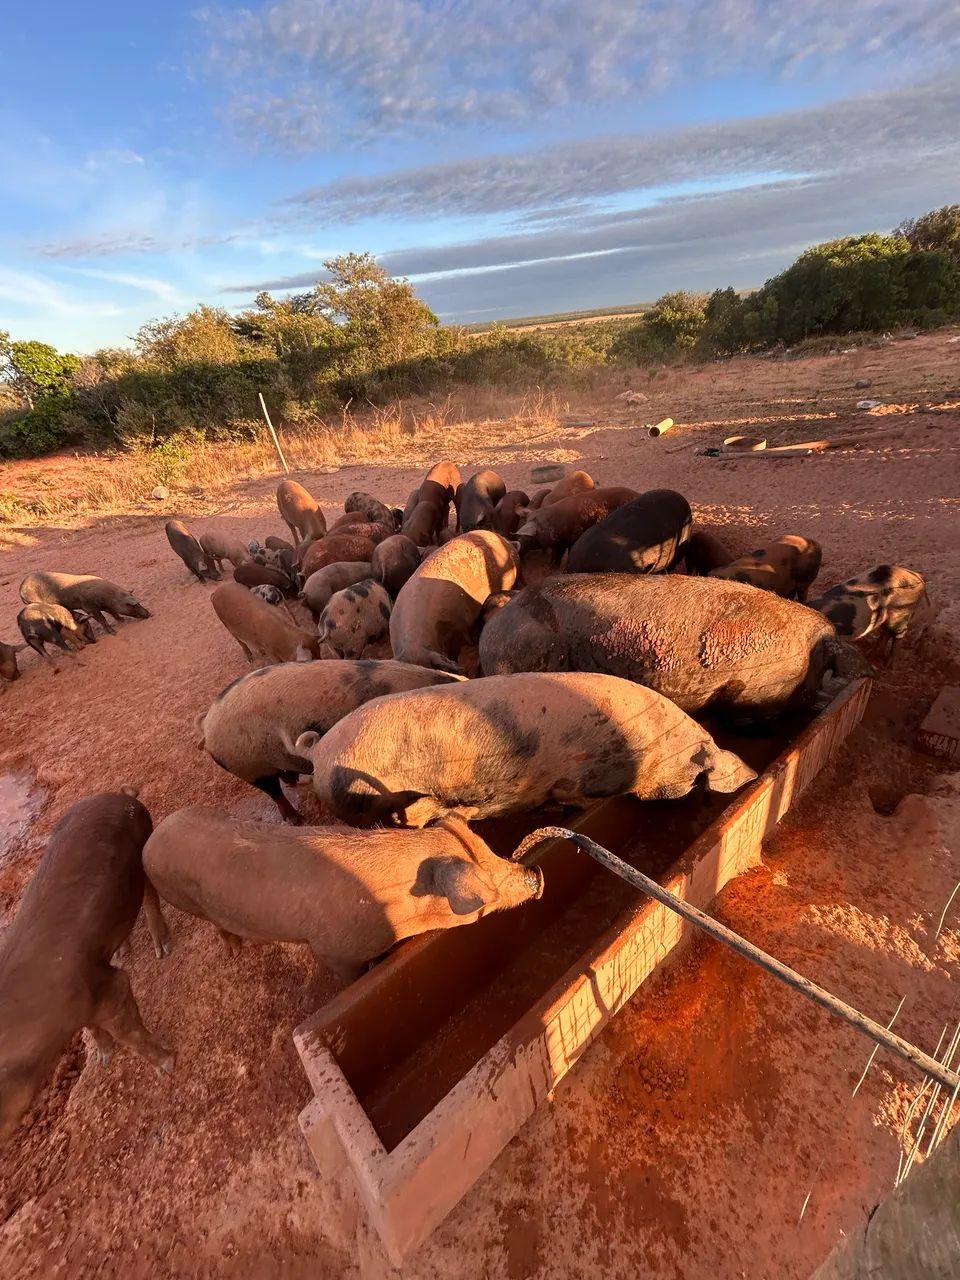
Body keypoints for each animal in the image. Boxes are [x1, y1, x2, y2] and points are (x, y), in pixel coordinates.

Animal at [0, 789, 173, 1147]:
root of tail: (120, 793)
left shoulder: (107, 988)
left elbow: (130, 1030)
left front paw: (167, 1066)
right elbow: (92, 1029)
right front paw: (105, 1058)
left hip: (144, 845)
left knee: (150, 896)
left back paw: (163, 949)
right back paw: (123, 951)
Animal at [20, 572, 150, 635]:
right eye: (135, 605)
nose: (149, 613)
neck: (108, 597)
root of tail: (21, 589)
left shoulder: (105, 605)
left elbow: (113, 612)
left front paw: (123, 621)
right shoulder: (89, 607)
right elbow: (102, 619)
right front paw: (113, 632)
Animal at [144, 810, 543, 983]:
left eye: (488, 850)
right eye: (486, 883)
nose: (536, 874)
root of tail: (152, 839)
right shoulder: (332, 952)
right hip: (183, 898)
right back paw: (234, 952)